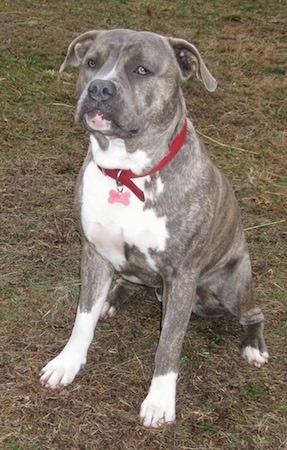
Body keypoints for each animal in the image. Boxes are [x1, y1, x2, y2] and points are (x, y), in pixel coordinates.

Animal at [39, 29, 268, 428]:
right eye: (91, 63)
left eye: (142, 70)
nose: (100, 88)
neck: (126, 172)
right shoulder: (94, 254)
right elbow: (82, 319)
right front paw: (67, 363)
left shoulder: (182, 275)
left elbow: (169, 345)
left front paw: (160, 401)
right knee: (127, 284)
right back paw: (112, 299)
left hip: (231, 287)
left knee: (255, 314)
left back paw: (254, 347)